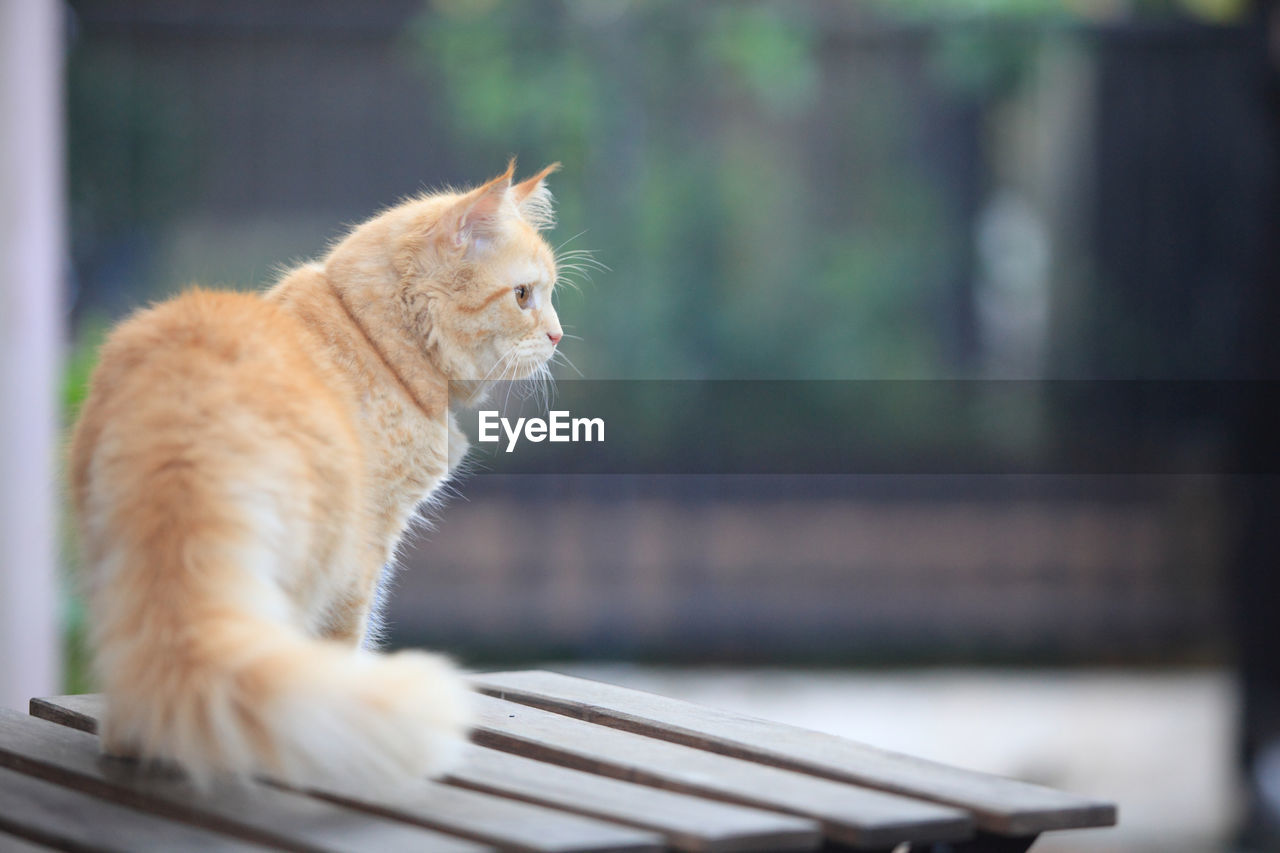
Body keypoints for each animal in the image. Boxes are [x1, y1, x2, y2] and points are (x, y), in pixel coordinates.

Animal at [68, 161, 565, 788]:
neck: (378, 340)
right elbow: (348, 641)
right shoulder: (369, 546)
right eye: (523, 296)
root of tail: (185, 423)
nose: (558, 336)